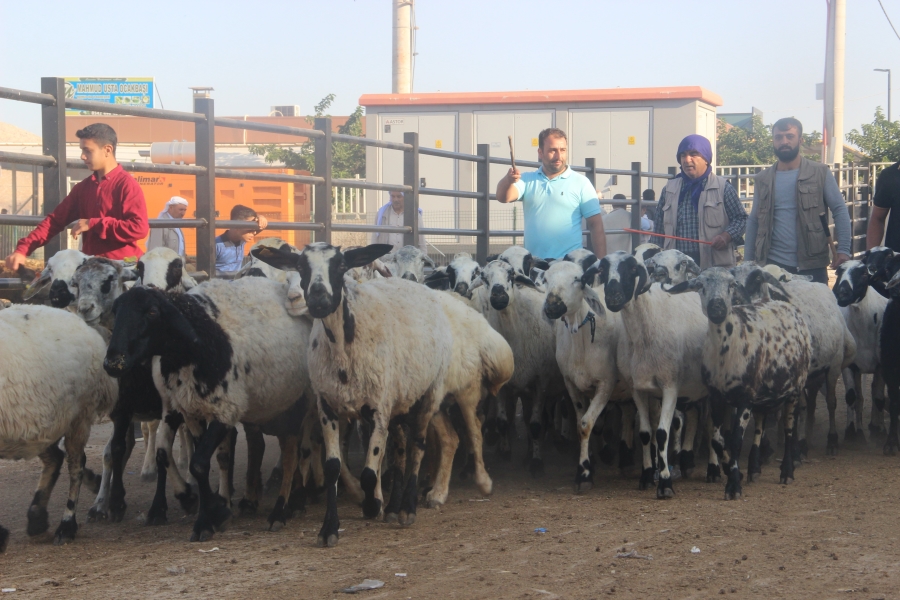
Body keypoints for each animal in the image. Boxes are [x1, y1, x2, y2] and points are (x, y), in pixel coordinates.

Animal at [0, 304, 118, 552]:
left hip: (79, 414)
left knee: (76, 464)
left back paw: (66, 525)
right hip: (42, 423)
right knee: (55, 458)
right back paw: (37, 518)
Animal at [104, 278, 314, 540]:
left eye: (152, 312)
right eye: (115, 311)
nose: (113, 362)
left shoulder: (226, 410)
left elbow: (199, 463)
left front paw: (210, 516)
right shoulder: (191, 411)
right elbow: (197, 464)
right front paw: (211, 514)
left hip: (298, 401)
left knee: (293, 454)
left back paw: (284, 508)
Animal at [664, 266, 812, 496]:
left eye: (732, 284)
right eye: (700, 285)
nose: (717, 307)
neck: (727, 346)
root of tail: (773, 301)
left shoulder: (744, 398)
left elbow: (734, 441)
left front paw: (733, 484)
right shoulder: (717, 396)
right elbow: (717, 440)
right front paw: (732, 471)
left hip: (795, 388)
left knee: (789, 429)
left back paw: (787, 472)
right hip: (763, 395)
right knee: (760, 424)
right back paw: (754, 468)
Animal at [832, 260, 888, 442]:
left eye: (863, 274)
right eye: (838, 273)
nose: (842, 293)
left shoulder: (881, 365)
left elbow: (879, 398)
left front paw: (880, 433)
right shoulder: (850, 365)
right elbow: (851, 396)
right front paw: (851, 433)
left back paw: (876, 426)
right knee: (860, 397)